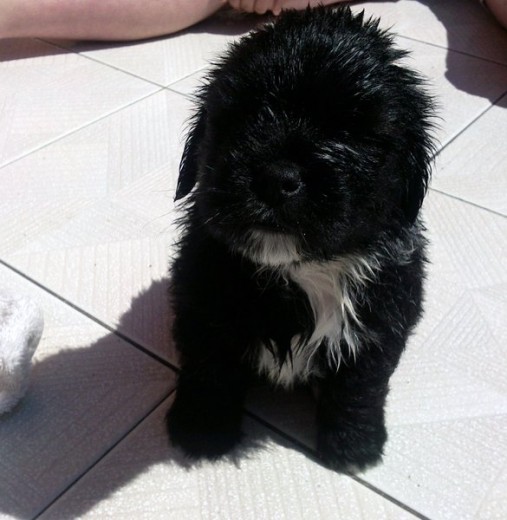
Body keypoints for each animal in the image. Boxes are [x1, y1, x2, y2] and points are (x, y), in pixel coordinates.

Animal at [168, 6, 436, 474]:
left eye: (352, 131)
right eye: (240, 117)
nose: (277, 178)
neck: (299, 272)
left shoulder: (381, 322)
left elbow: (360, 387)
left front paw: (353, 447)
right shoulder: (202, 302)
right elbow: (209, 368)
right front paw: (201, 431)